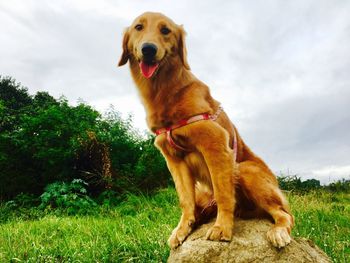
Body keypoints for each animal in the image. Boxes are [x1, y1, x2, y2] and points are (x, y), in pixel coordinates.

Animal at [117, 10, 292, 250]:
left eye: (165, 30)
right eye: (138, 27)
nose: (148, 49)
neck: (164, 91)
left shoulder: (215, 143)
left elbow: (223, 193)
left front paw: (222, 228)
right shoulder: (173, 159)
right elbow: (185, 200)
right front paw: (183, 228)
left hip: (245, 170)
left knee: (284, 213)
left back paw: (278, 231)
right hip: (204, 191)